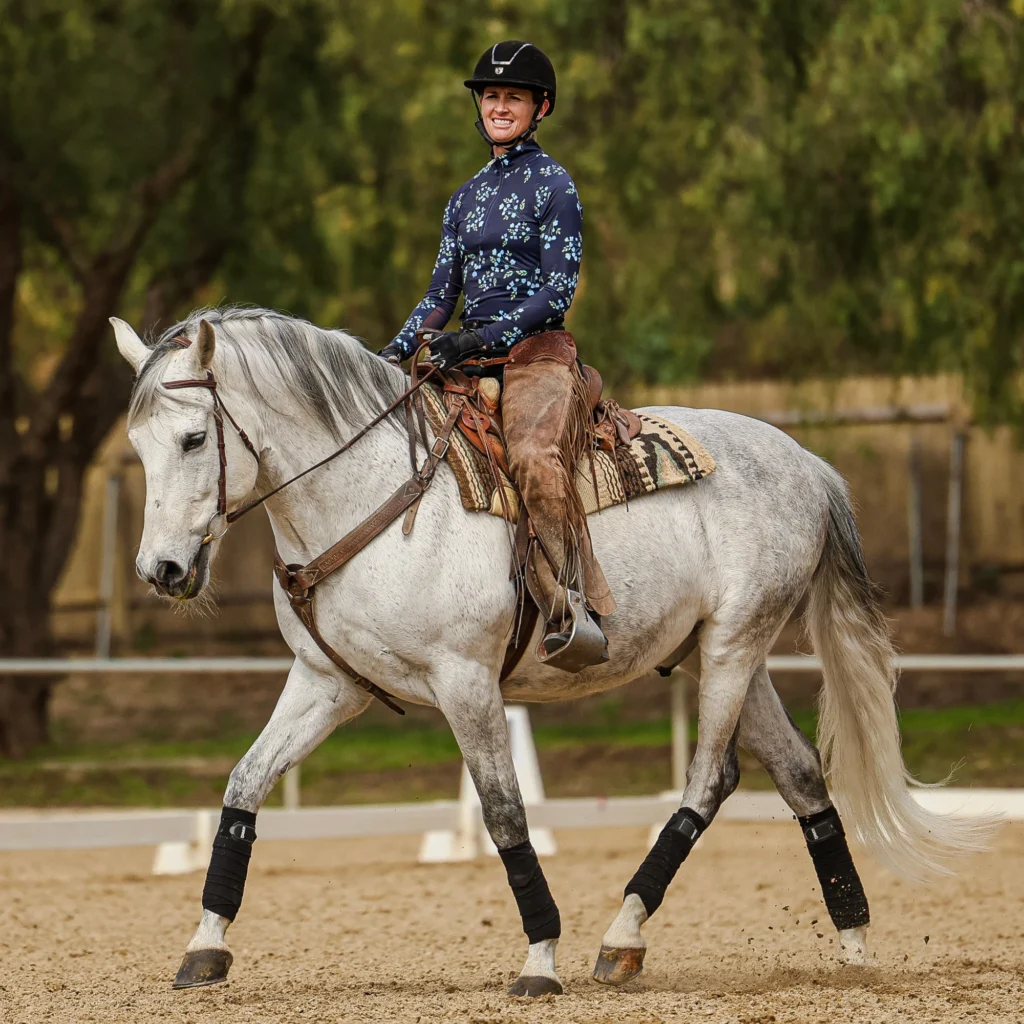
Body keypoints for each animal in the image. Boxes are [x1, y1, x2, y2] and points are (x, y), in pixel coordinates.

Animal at [112, 306, 994, 997]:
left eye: (194, 438)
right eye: (138, 445)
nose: (161, 570)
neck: (372, 496)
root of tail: (805, 462)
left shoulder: (466, 683)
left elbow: (505, 814)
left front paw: (540, 958)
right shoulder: (328, 682)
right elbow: (244, 786)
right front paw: (204, 947)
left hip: (736, 645)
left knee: (708, 781)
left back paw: (622, 935)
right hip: (722, 656)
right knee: (801, 775)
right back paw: (852, 942)